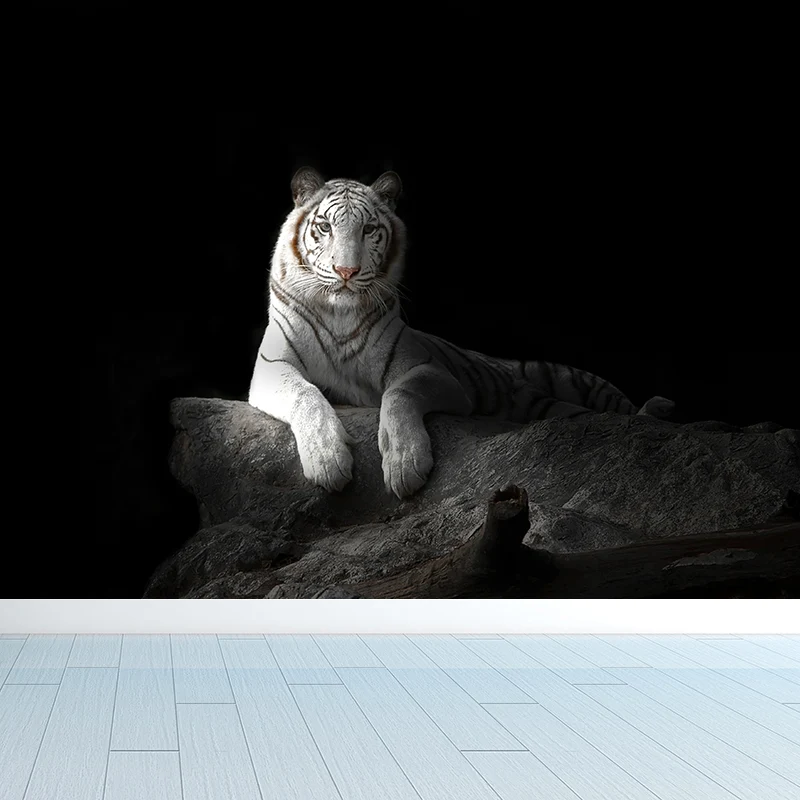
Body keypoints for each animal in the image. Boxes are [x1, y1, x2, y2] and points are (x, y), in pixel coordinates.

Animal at [248, 167, 674, 498]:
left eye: (368, 229)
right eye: (324, 227)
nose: (346, 272)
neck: (339, 312)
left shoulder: (433, 372)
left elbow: (399, 393)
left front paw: (405, 464)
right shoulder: (271, 367)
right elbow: (306, 395)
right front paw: (328, 460)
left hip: (578, 382)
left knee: (621, 411)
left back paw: (657, 410)